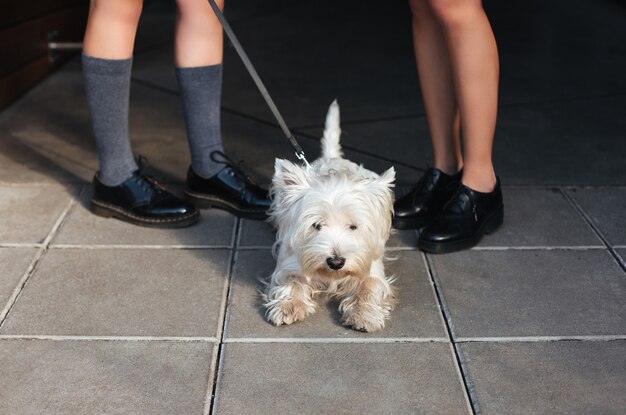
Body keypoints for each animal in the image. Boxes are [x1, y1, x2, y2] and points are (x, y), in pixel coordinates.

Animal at [264, 101, 394, 334]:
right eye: (316, 225)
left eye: (353, 227)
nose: (336, 261)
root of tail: (332, 157)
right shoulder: (290, 263)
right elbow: (293, 281)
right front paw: (288, 307)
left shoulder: (371, 267)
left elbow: (369, 285)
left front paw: (364, 315)